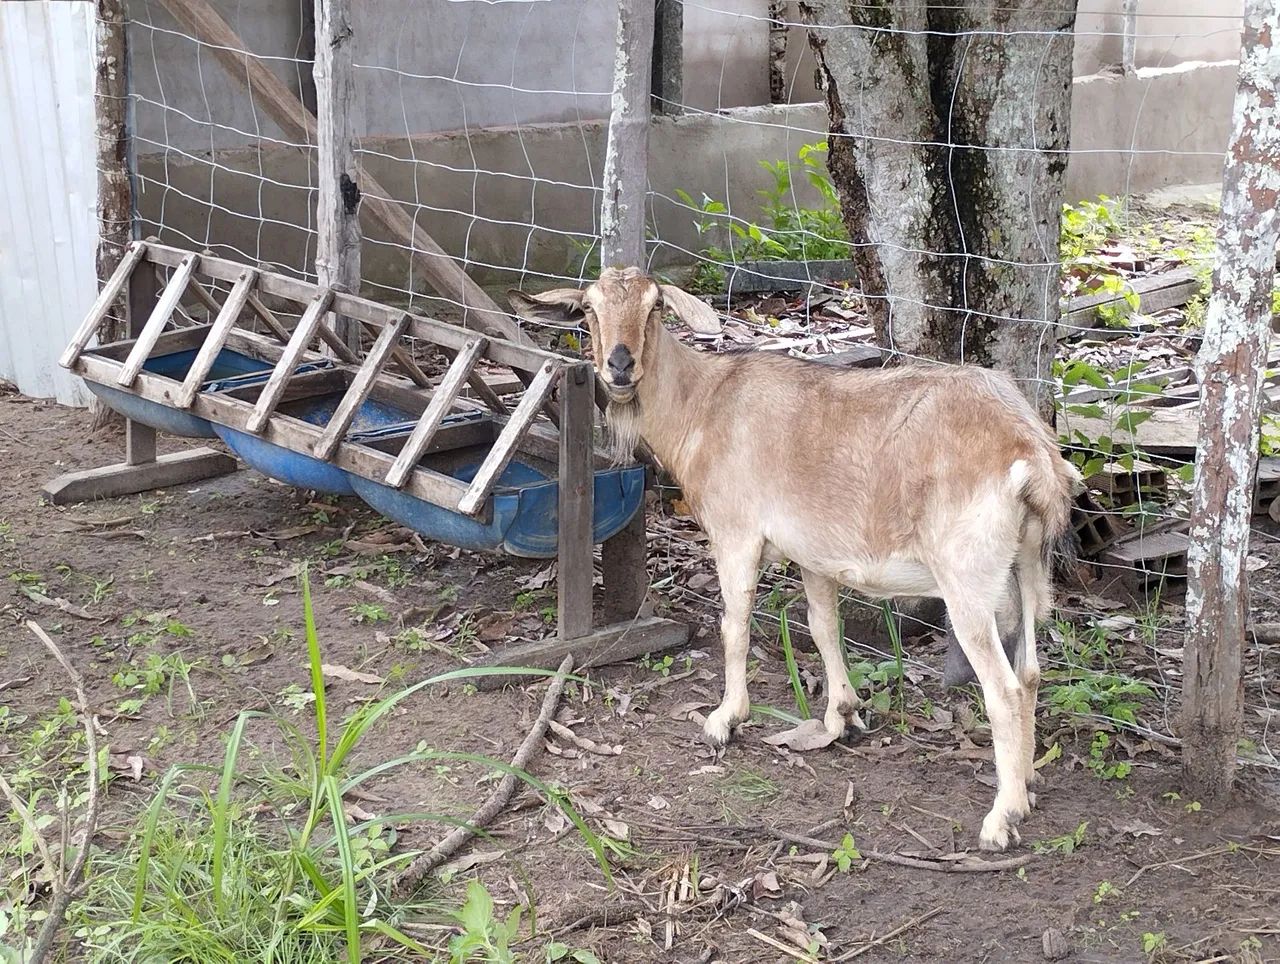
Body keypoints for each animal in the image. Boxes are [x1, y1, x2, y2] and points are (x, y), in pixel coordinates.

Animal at [509, 265, 1080, 850]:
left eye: (654, 307)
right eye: (587, 309)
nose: (620, 366)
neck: (703, 405)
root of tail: (1032, 455)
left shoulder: (736, 534)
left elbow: (734, 626)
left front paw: (725, 719)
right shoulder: (814, 553)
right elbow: (823, 626)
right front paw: (840, 716)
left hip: (968, 578)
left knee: (1003, 689)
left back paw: (1002, 817)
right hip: (1025, 566)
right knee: (1030, 672)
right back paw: (1027, 783)